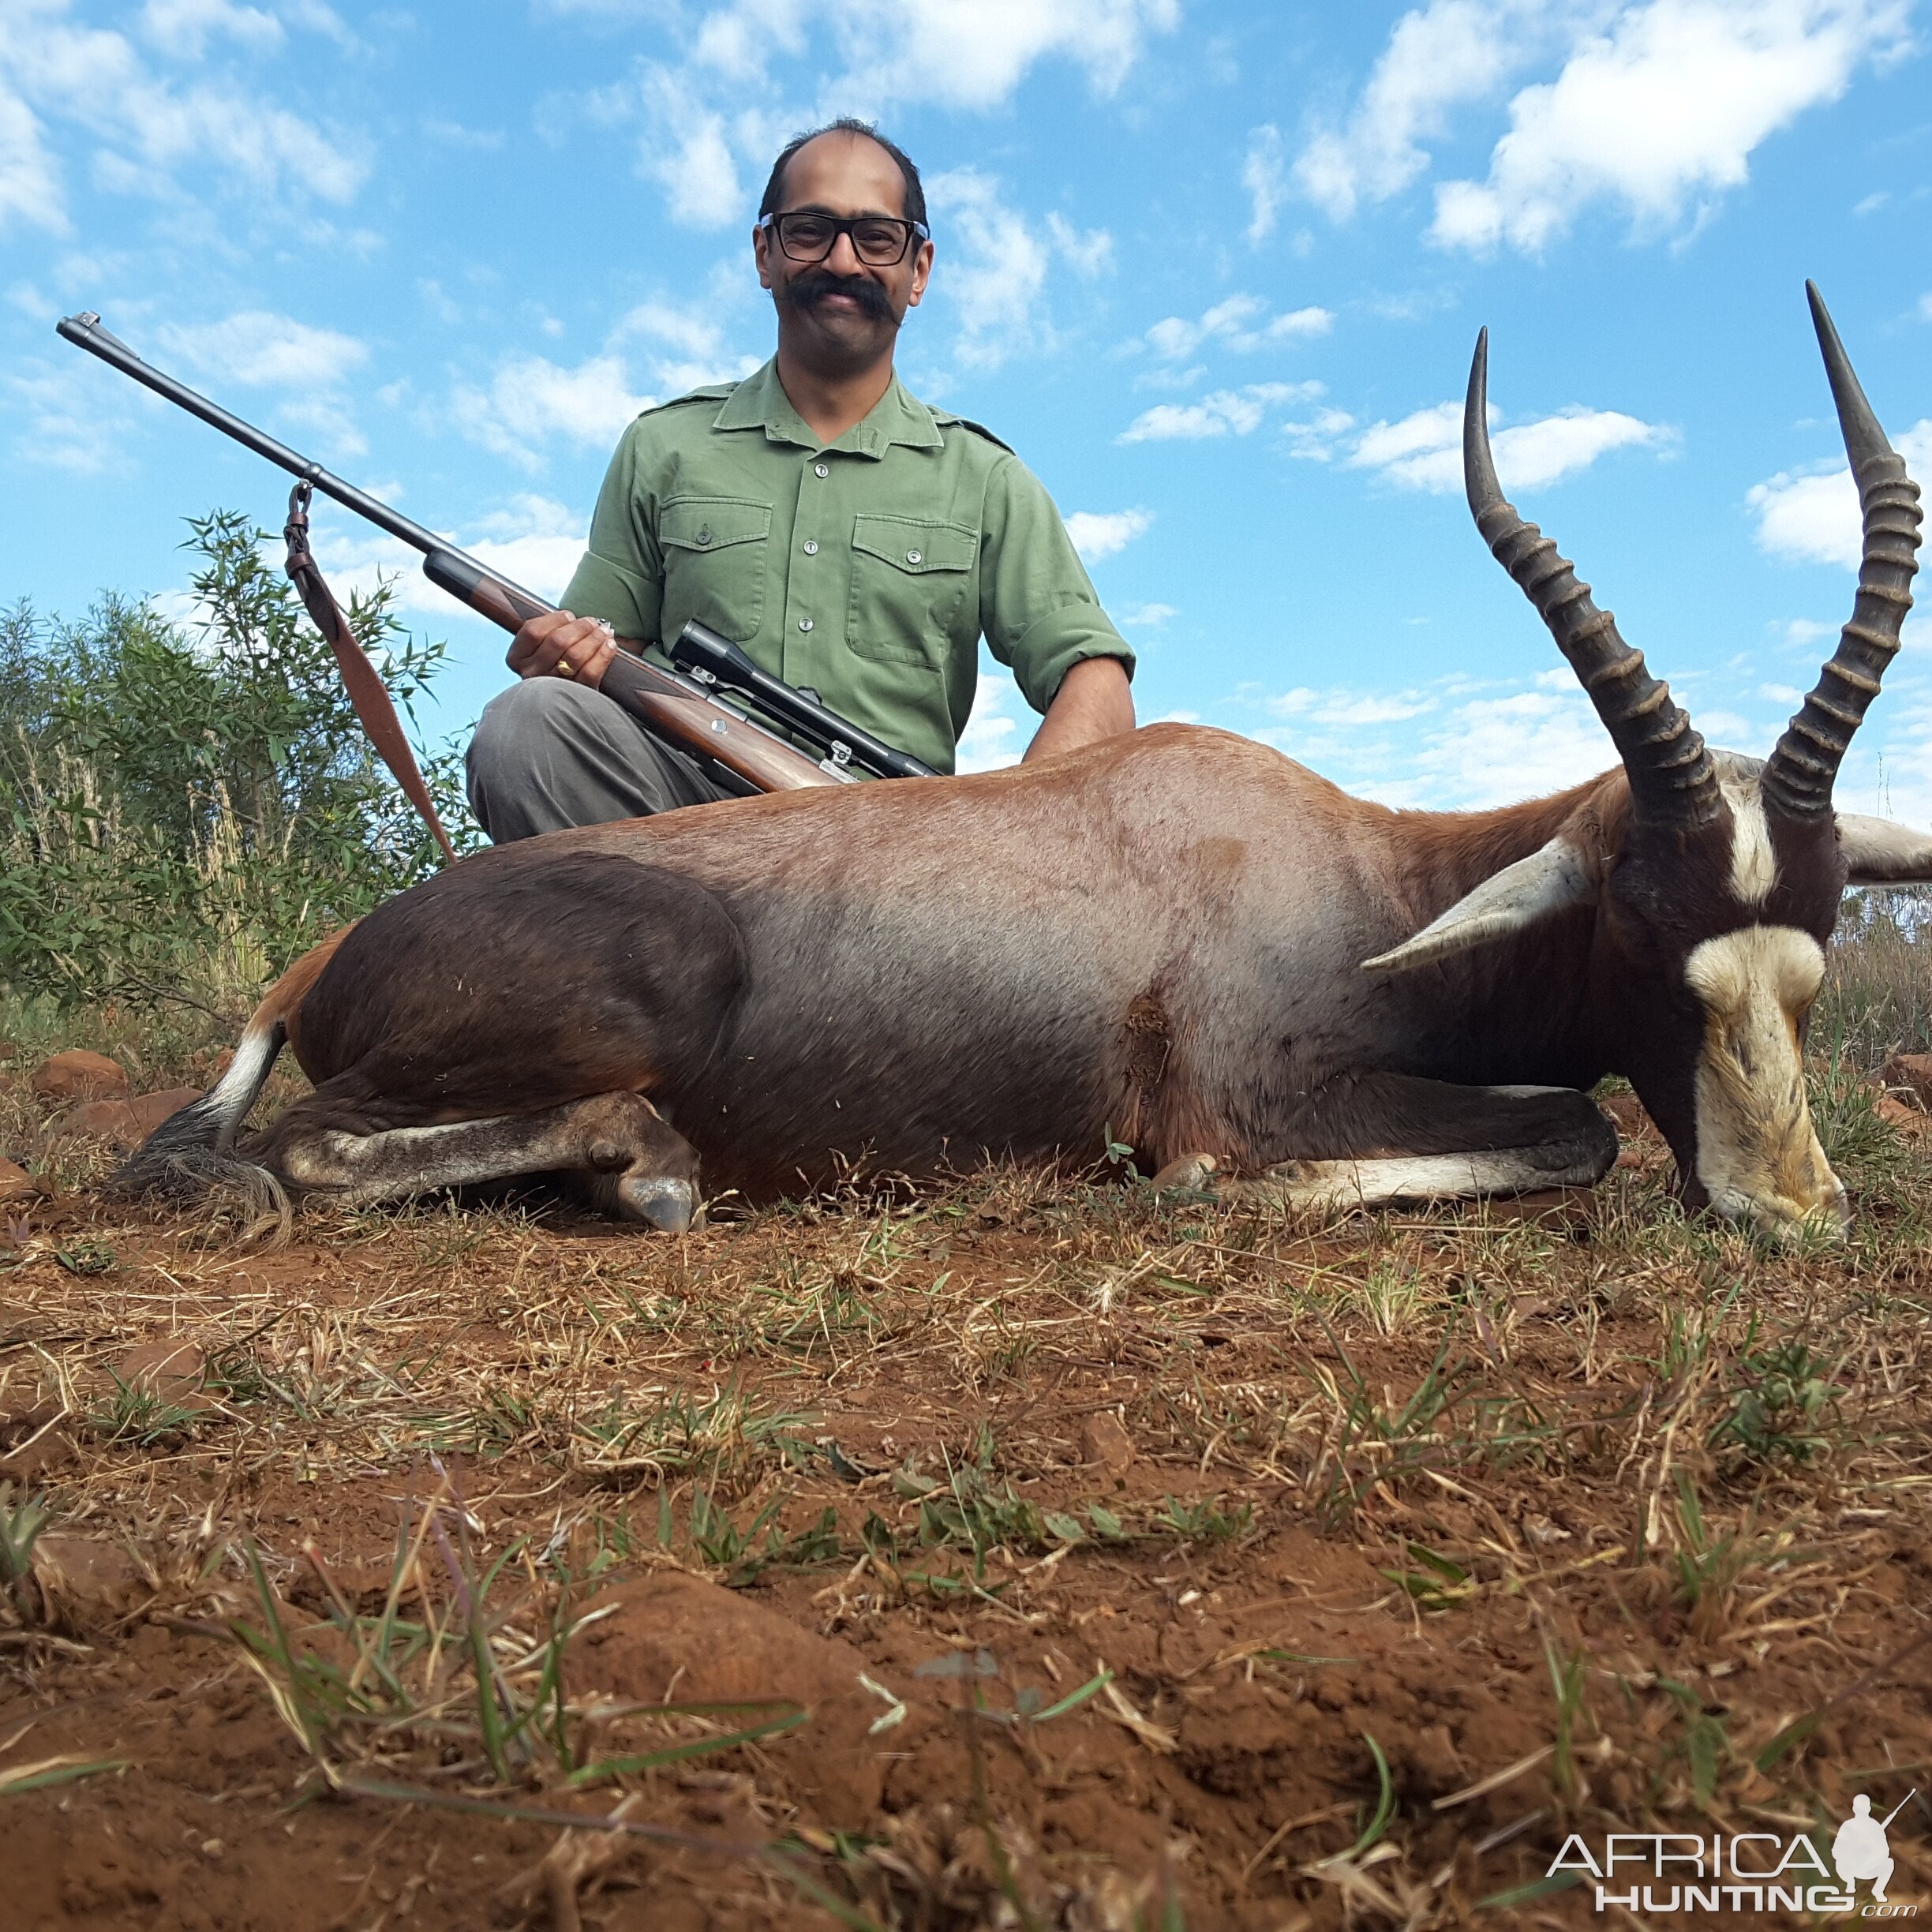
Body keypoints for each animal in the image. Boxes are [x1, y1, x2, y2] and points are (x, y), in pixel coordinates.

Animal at [121, 294, 1916, 1244]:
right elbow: (1570, 1128)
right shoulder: (1254, 1095)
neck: (1350, 869)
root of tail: (327, 952)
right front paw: (1182, 1197)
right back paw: (652, 1168)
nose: (1789, 1210)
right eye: (1643, 929)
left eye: (1813, 953)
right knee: (296, 1150)